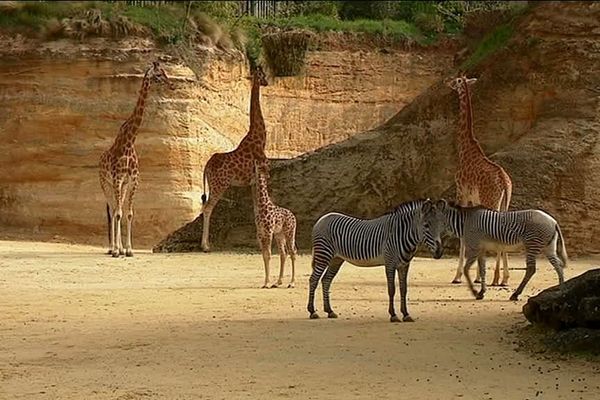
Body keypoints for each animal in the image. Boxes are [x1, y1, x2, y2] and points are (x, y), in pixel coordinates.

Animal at [251, 159, 298, 288]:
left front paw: (267, 283)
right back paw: (278, 282)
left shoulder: (268, 232)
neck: (262, 205)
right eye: (259, 167)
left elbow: (268, 254)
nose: (266, 174)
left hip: (289, 233)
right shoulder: (260, 233)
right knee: (283, 253)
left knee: (293, 252)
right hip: (279, 235)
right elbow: (264, 255)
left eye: (265, 166)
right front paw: (266, 282)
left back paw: (292, 283)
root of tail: (293, 216)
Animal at [308, 198, 442, 324]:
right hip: (323, 255)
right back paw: (312, 311)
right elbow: (391, 289)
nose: (439, 252)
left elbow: (403, 289)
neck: (402, 234)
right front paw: (393, 315)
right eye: (426, 225)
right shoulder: (390, 263)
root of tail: (322, 218)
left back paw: (329, 311)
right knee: (313, 279)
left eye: (440, 225)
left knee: (326, 280)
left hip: (336, 259)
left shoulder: (404, 265)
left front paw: (406, 314)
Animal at [422, 200, 568, 300]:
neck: (465, 223)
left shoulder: (474, 248)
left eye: (428, 224)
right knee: (558, 266)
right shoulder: (481, 250)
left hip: (532, 244)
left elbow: (466, 269)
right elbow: (482, 270)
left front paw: (475, 292)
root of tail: (553, 221)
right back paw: (561, 291)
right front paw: (482, 292)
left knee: (531, 269)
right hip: (548, 247)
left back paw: (515, 294)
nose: (438, 251)